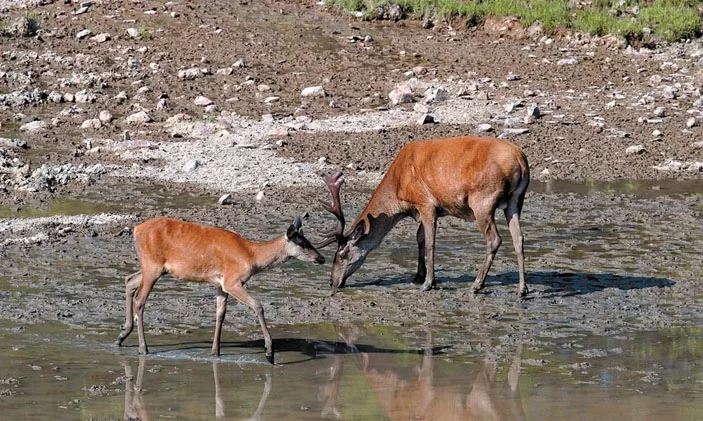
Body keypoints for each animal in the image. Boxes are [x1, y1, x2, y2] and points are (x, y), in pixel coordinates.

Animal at [115, 215, 324, 362]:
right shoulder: (233, 280)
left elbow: (220, 314)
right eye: (304, 243)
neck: (251, 255)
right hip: (152, 265)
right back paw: (143, 348)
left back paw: (121, 336)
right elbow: (258, 305)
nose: (321, 258)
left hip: (155, 268)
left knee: (129, 280)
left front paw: (215, 352)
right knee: (140, 299)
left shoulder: (221, 284)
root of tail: (136, 229)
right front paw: (269, 353)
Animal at [316, 135, 532, 296]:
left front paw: (429, 283)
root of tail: (521, 160)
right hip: (516, 200)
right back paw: (522, 289)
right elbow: (419, 238)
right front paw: (418, 276)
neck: (399, 191)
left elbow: (429, 242)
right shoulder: (423, 209)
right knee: (519, 238)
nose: (332, 281)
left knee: (494, 239)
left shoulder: (426, 203)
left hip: (482, 200)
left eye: (342, 254)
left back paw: (477, 284)